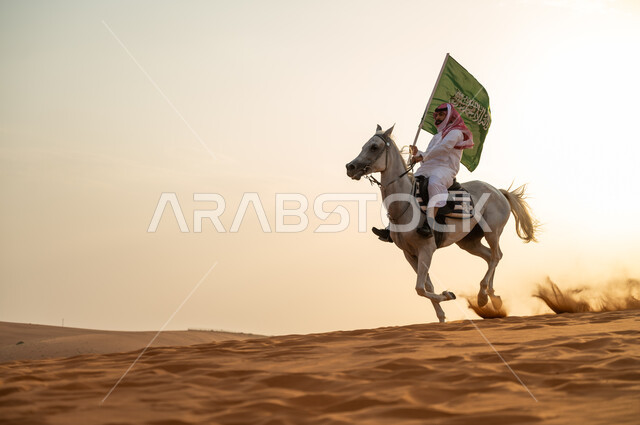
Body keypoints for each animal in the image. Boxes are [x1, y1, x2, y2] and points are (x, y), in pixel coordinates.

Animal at [345, 125, 539, 323]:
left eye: (374, 147)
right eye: (364, 145)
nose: (350, 167)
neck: (405, 204)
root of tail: (499, 192)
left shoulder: (426, 249)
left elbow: (420, 288)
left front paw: (448, 295)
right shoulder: (409, 254)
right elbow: (426, 287)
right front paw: (441, 316)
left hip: (492, 232)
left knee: (496, 256)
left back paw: (483, 296)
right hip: (469, 242)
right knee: (489, 256)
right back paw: (492, 296)